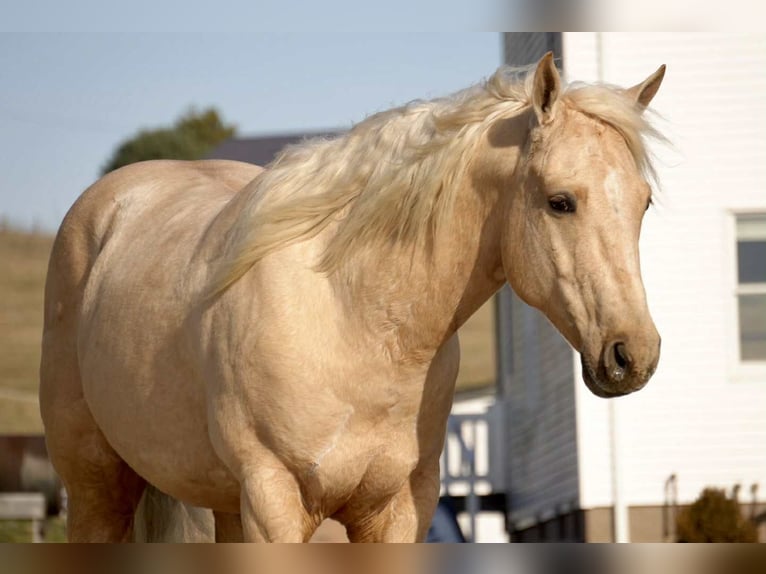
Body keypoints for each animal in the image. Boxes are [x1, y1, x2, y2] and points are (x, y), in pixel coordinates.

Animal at [39, 53, 666, 542]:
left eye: (645, 203)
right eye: (561, 201)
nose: (633, 354)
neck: (356, 321)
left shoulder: (398, 510)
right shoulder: (274, 501)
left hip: (222, 506)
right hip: (98, 488)